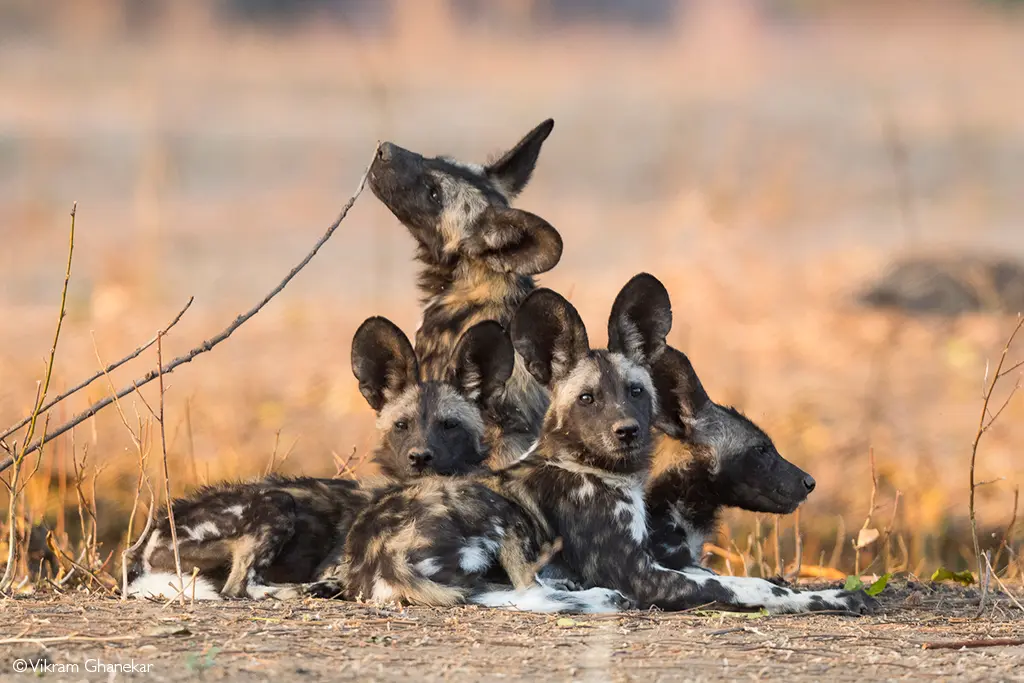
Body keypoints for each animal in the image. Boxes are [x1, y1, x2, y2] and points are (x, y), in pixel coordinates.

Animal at [125, 317, 516, 601]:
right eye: (402, 425)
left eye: (449, 425)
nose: (419, 457)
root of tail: (146, 543)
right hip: (276, 503)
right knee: (240, 588)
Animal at [326, 275, 874, 614]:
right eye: (587, 398)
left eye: (635, 392)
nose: (626, 431)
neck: (602, 473)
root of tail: (370, 551)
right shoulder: (645, 575)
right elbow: (751, 586)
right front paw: (836, 600)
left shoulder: (673, 562)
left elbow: (758, 580)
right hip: (498, 513)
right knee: (521, 594)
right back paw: (594, 598)